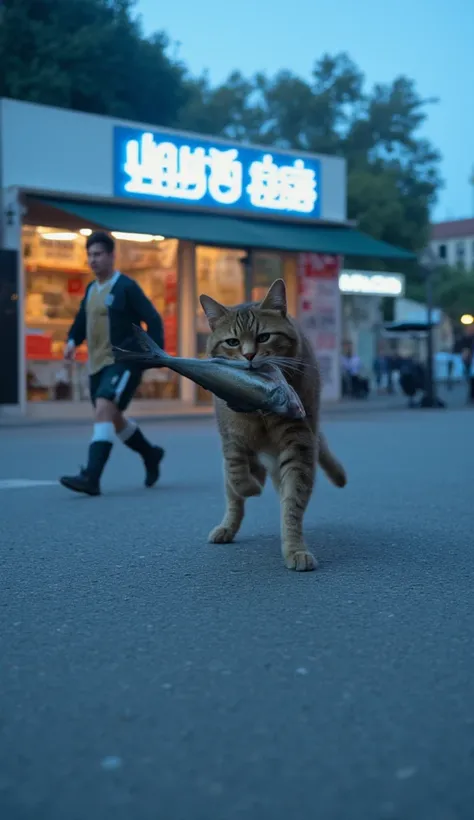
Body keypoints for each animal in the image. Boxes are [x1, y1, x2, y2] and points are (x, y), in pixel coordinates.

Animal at [198, 278, 346, 572]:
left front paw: (295, 549)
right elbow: (236, 474)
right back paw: (228, 525)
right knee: (234, 497)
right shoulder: (232, 439)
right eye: (232, 342)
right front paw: (251, 486)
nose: (249, 355)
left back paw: (338, 475)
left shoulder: (299, 443)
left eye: (264, 337)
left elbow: (292, 505)